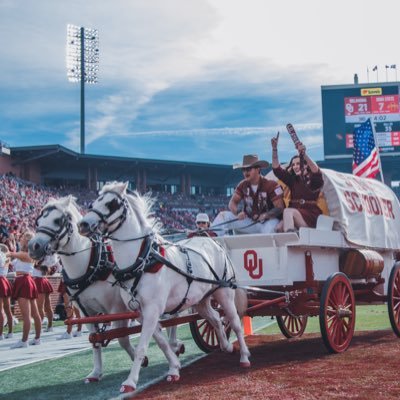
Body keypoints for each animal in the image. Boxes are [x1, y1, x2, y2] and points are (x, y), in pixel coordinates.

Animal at [78, 183, 250, 396]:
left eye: (111, 203)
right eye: (93, 201)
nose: (83, 224)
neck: (143, 261)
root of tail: (215, 243)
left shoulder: (152, 309)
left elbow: (143, 346)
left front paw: (130, 382)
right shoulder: (142, 312)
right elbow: (161, 341)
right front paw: (174, 368)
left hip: (225, 293)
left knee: (234, 323)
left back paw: (244, 356)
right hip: (200, 300)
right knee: (216, 319)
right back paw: (226, 346)